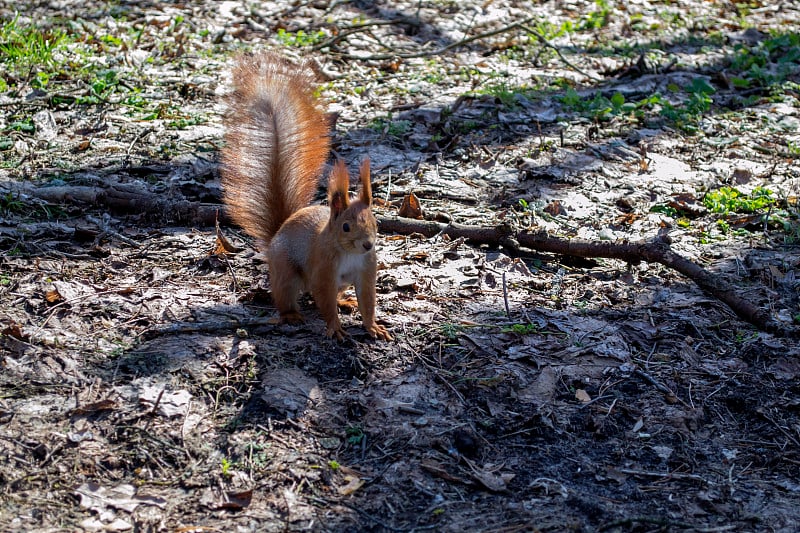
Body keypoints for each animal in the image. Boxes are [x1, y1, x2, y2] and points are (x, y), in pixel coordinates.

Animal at [222, 52, 390, 338]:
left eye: (376, 222)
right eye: (346, 226)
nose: (368, 244)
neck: (348, 253)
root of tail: (276, 234)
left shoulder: (367, 270)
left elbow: (367, 302)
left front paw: (373, 327)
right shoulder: (323, 270)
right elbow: (324, 300)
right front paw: (335, 328)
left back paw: (345, 301)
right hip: (286, 273)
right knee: (287, 296)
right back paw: (291, 315)